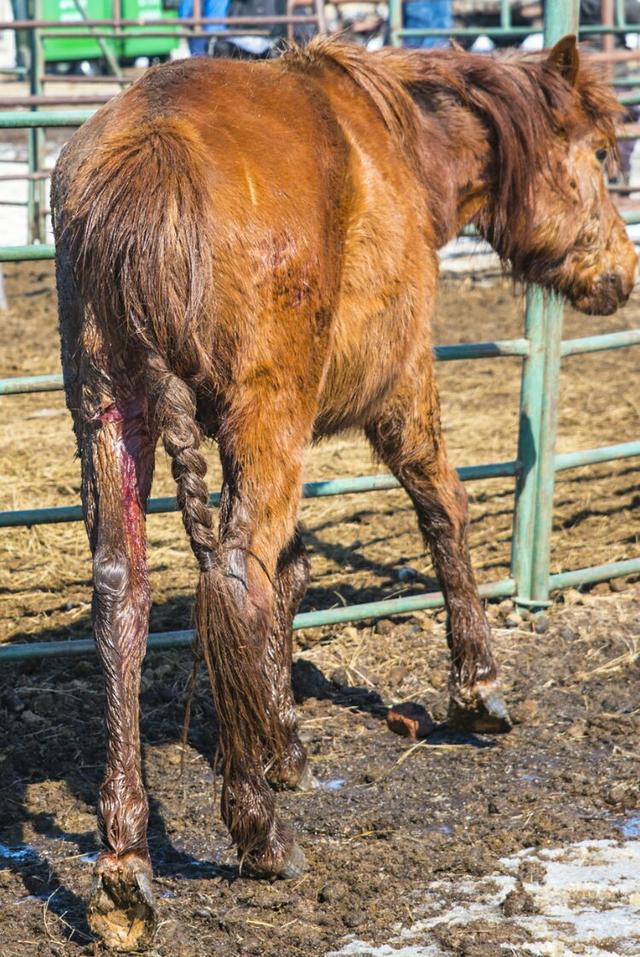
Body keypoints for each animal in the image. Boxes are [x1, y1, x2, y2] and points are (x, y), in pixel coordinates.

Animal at [52, 35, 636, 948]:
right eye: (603, 153)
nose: (623, 271)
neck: (403, 149)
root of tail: (150, 158)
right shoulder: (403, 388)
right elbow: (444, 511)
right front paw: (477, 688)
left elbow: (293, 575)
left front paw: (282, 743)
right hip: (263, 414)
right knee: (236, 580)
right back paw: (258, 832)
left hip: (113, 410)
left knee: (126, 596)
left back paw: (124, 866)